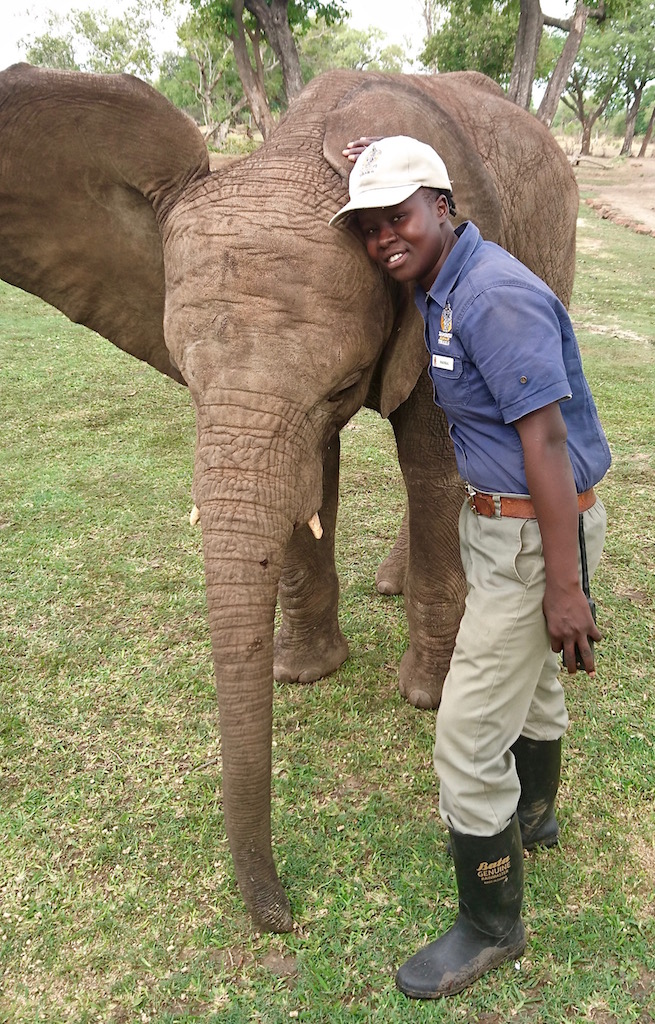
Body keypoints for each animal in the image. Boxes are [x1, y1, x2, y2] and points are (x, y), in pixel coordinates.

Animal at [0, 64, 577, 937]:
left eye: (340, 385)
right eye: (185, 379)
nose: (282, 914)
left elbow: (433, 459)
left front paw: (425, 697)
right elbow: (314, 477)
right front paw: (303, 674)